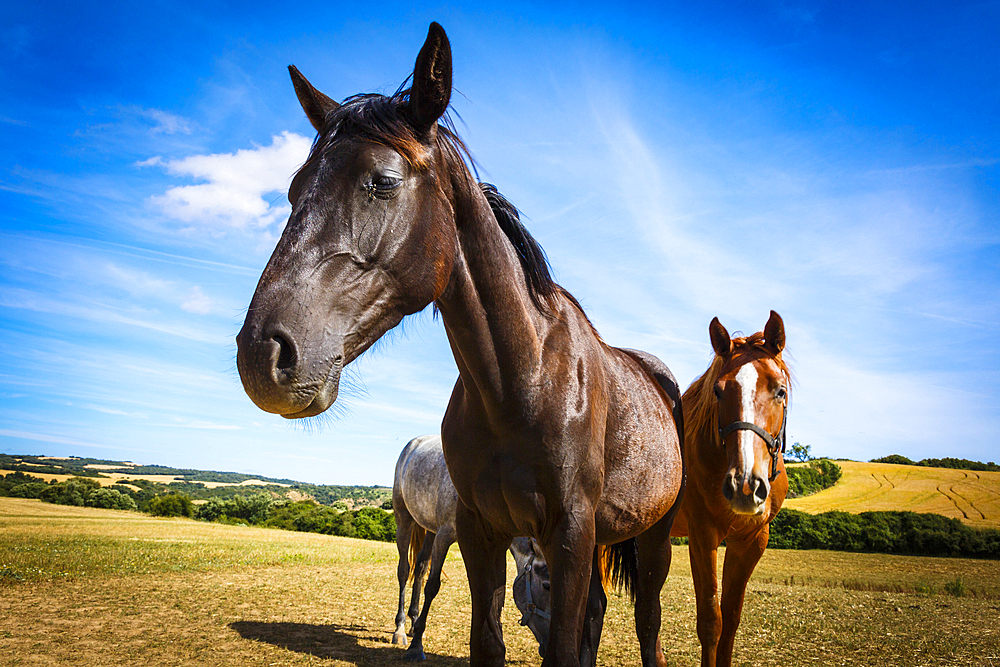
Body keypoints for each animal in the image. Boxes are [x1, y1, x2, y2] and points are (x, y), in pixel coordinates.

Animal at [236, 23, 688, 667]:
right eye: (295, 188)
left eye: (383, 182)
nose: (262, 355)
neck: (523, 382)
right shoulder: (480, 532)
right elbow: (486, 638)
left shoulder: (571, 537)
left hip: (653, 538)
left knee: (647, 622)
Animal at [668, 314, 792, 667]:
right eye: (718, 392)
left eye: (780, 391)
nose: (744, 486)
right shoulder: (702, 536)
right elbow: (711, 620)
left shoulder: (751, 540)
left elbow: (732, 618)